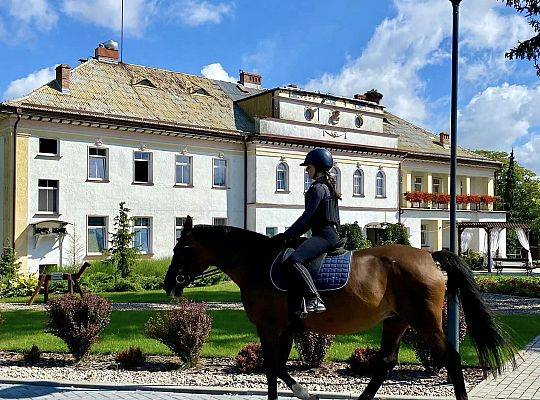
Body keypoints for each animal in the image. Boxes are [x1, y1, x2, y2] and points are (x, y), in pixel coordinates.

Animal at [163, 217, 516, 400]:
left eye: (182, 247)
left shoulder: (270, 327)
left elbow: (272, 367)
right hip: (396, 320)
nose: (168, 284)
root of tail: (428, 255)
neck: (256, 263)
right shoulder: (286, 328)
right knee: (385, 364)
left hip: (424, 320)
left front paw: (305, 393)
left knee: (451, 359)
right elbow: (276, 367)